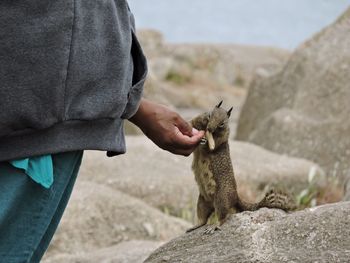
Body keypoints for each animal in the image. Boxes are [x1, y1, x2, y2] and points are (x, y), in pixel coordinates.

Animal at [186, 101, 296, 235]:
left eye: (222, 124)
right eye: (210, 114)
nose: (210, 129)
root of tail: (236, 198)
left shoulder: (221, 139)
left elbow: (212, 146)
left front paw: (205, 141)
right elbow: (193, 122)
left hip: (221, 200)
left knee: (223, 217)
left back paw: (214, 226)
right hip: (202, 202)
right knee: (203, 218)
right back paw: (195, 226)